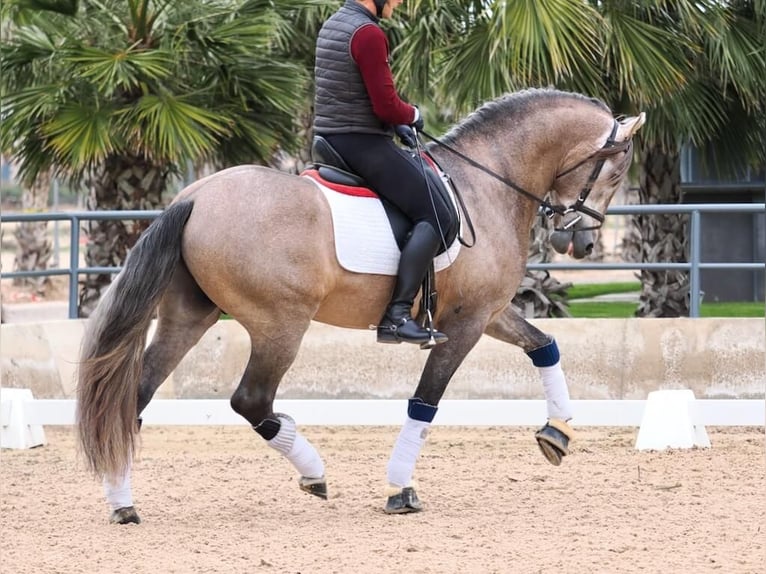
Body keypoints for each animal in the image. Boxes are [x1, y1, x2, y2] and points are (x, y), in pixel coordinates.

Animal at [76, 88, 645, 524]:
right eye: (617, 174)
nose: (582, 243)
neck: (487, 182)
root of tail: (194, 196)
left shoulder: (486, 312)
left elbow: (544, 345)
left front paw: (557, 432)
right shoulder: (463, 325)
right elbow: (425, 402)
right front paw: (400, 490)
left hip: (188, 318)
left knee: (136, 397)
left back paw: (122, 503)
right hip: (280, 324)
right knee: (251, 401)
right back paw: (314, 473)